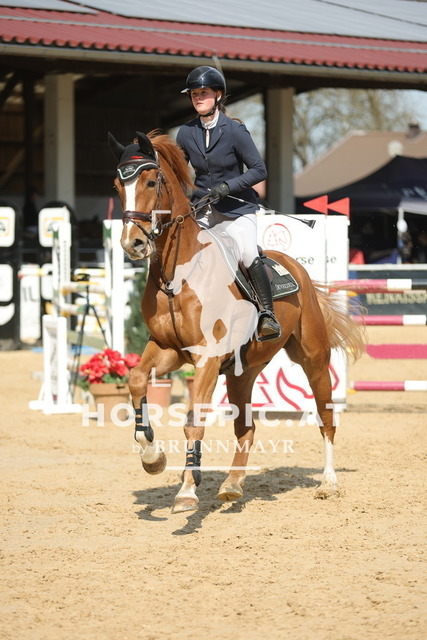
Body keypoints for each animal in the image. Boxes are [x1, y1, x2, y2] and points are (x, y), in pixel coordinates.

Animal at [108, 129, 364, 514]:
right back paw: (232, 485)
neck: (178, 277)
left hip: (313, 360)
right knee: (247, 429)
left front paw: (187, 491)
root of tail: (297, 268)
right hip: (243, 373)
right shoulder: (168, 349)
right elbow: (137, 380)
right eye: (117, 186)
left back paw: (328, 482)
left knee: (326, 418)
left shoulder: (208, 357)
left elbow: (193, 422)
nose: (133, 244)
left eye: (152, 181)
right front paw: (153, 457)